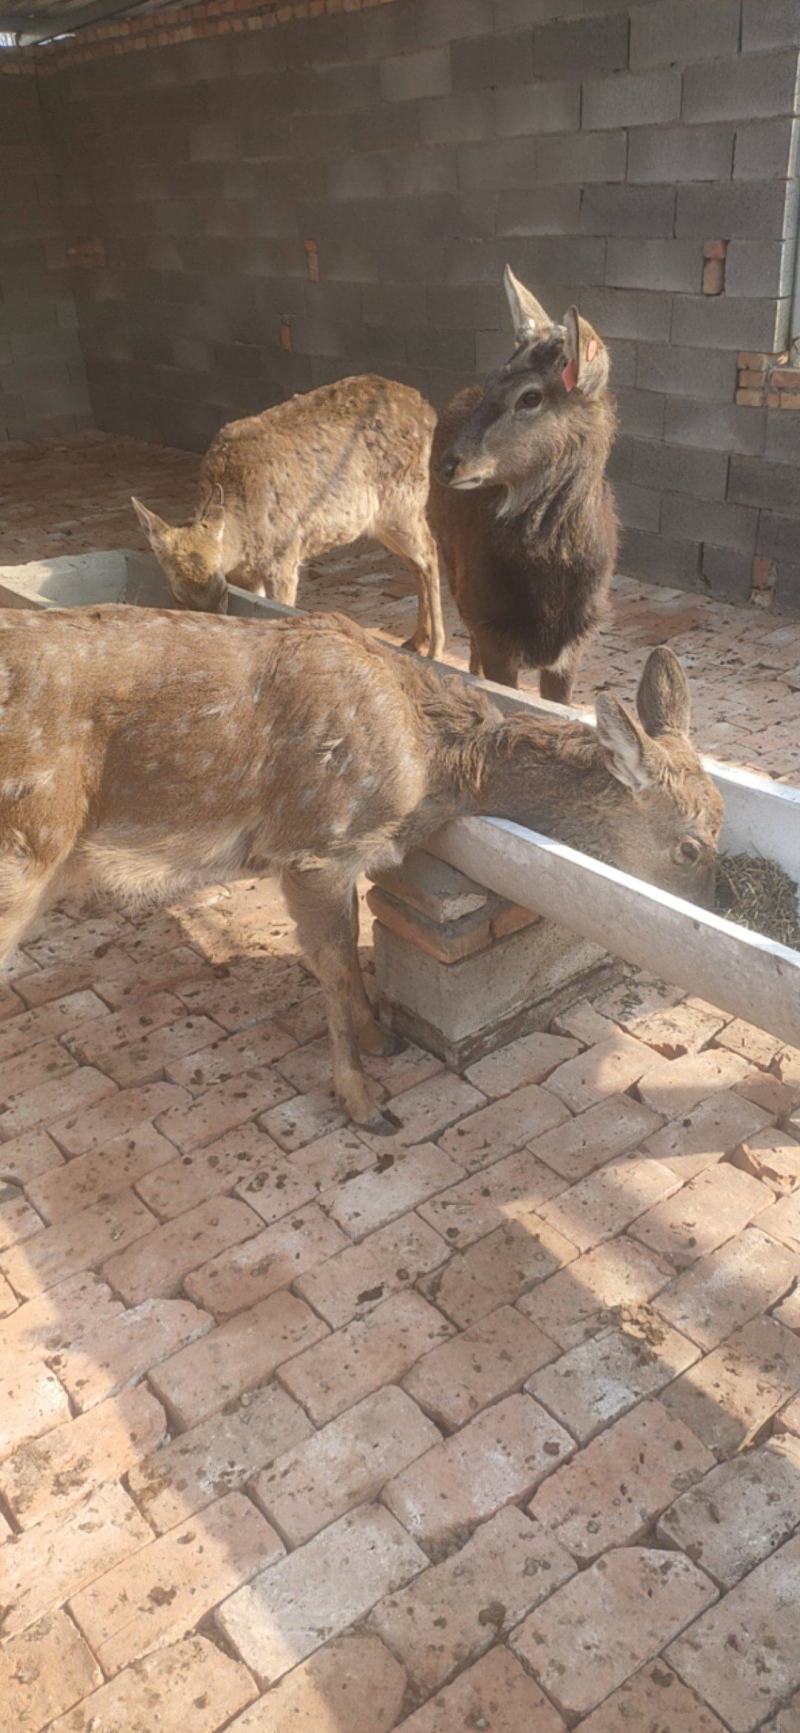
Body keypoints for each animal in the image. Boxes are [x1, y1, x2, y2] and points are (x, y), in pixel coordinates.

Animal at [0, 606, 721, 1132]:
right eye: (690, 846)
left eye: (723, 818)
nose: (712, 907)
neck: (433, 766)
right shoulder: (316, 845)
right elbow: (336, 963)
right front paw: (364, 1101)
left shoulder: (345, 859)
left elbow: (348, 952)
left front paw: (382, 1040)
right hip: (24, 850)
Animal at [131, 373, 446, 659]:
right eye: (176, 595)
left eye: (222, 591)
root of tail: (429, 411)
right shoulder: (250, 573)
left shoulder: (284, 557)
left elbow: (279, 611)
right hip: (385, 519)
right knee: (416, 563)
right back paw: (416, 640)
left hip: (403, 504)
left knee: (430, 552)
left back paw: (435, 649)